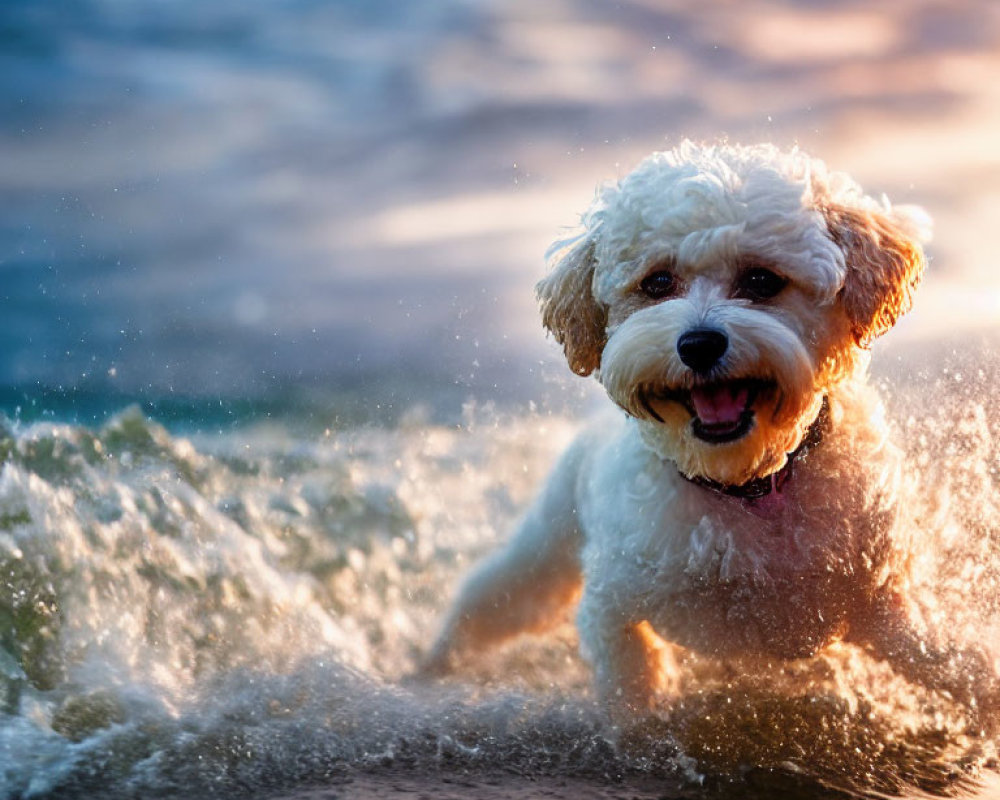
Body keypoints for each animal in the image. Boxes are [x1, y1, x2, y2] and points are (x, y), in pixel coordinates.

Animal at [424, 141, 1000, 720]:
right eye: (657, 282)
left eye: (762, 280)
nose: (698, 344)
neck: (746, 486)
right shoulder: (612, 600)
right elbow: (628, 675)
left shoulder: (882, 600)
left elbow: (953, 660)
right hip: (547, 544)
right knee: (494, 595)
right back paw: (434, 664)